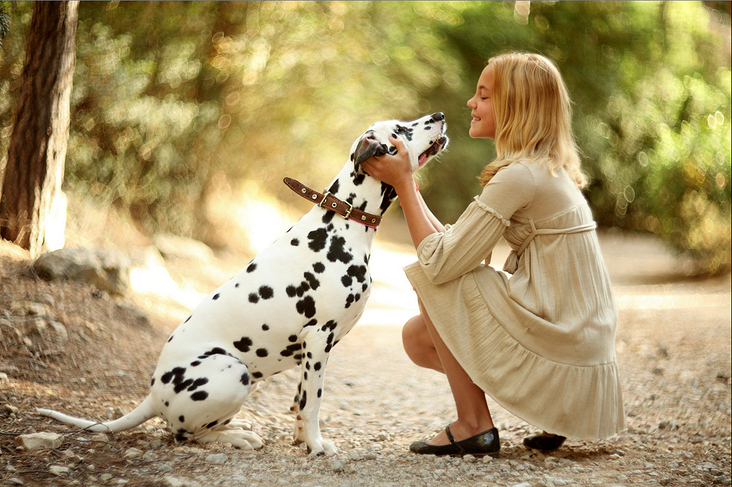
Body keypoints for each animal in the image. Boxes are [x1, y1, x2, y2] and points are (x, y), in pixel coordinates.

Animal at [40, 112, 448, 456]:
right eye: (402, 130)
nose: (440, 115)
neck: (341, 223)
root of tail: (153, 396)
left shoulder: (312, 350)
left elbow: (300, 400)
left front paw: (302, 439)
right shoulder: (319, 338)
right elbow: (313, 401)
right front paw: (317, 446)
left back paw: (238, 429)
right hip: (233, 372)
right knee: (182, 434)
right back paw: (237, 438)